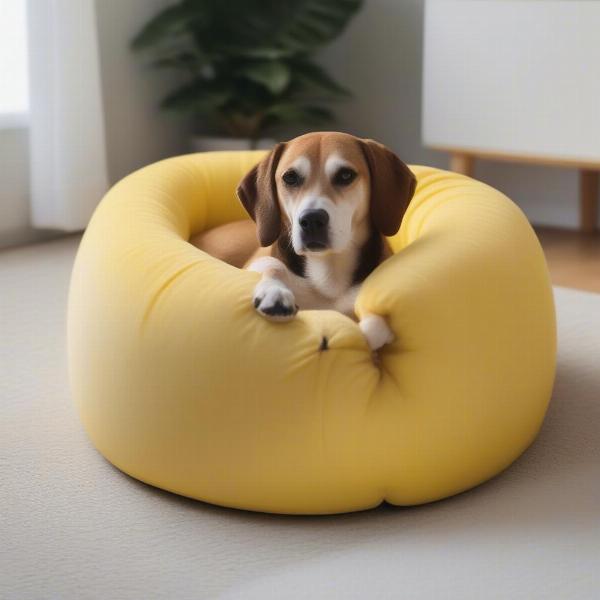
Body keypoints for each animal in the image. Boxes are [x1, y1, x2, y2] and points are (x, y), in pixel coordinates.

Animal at [190, 130, 414, 352]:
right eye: (290, 177)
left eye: (345, 175)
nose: (312, 220)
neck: (327, 269)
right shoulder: (260, 261)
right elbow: (272, 265)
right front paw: (275, 293)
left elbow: (374, 324)